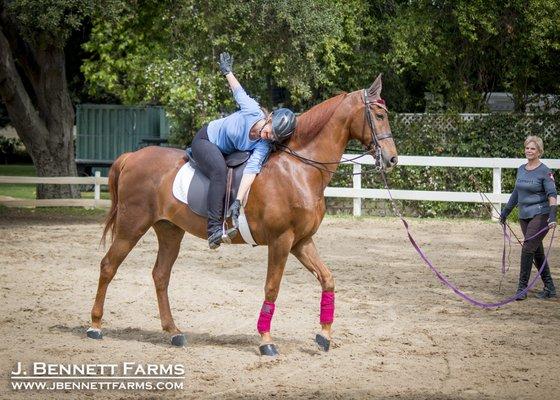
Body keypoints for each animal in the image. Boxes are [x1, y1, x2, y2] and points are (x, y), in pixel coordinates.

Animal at [86, 73, 398, 354]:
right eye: (379, 114)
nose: (392, 158)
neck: (299, 168)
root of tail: (131, 157)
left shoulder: (301, 241)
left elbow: (327, 279)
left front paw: (324, 335)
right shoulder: (282, 241)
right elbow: (272, 288)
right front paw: (266, 341)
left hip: (169, 230)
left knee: (160, 275)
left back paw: (173, 332)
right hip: (132, 225)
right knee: (108, 266)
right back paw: (95, 326)